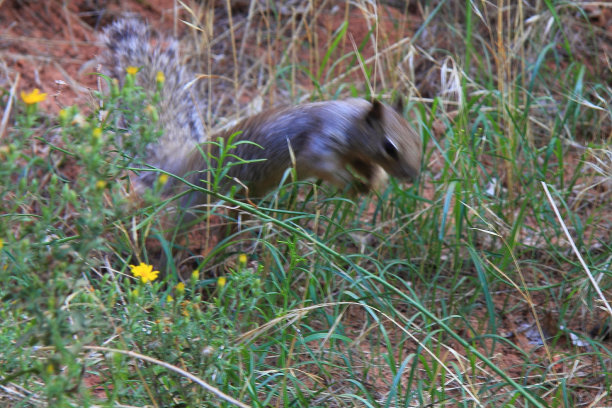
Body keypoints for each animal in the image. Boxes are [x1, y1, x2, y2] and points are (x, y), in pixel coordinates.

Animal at [99, 17, 420, 223]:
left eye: (415, 138)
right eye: (390, 147)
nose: (413, 177)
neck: (350, 119)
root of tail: (184, 163)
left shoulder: (356, 153)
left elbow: (365, 167)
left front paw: (373, 183)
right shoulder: (320, 140)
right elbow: (323, 164)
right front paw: (351, 184)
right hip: (198, 197)